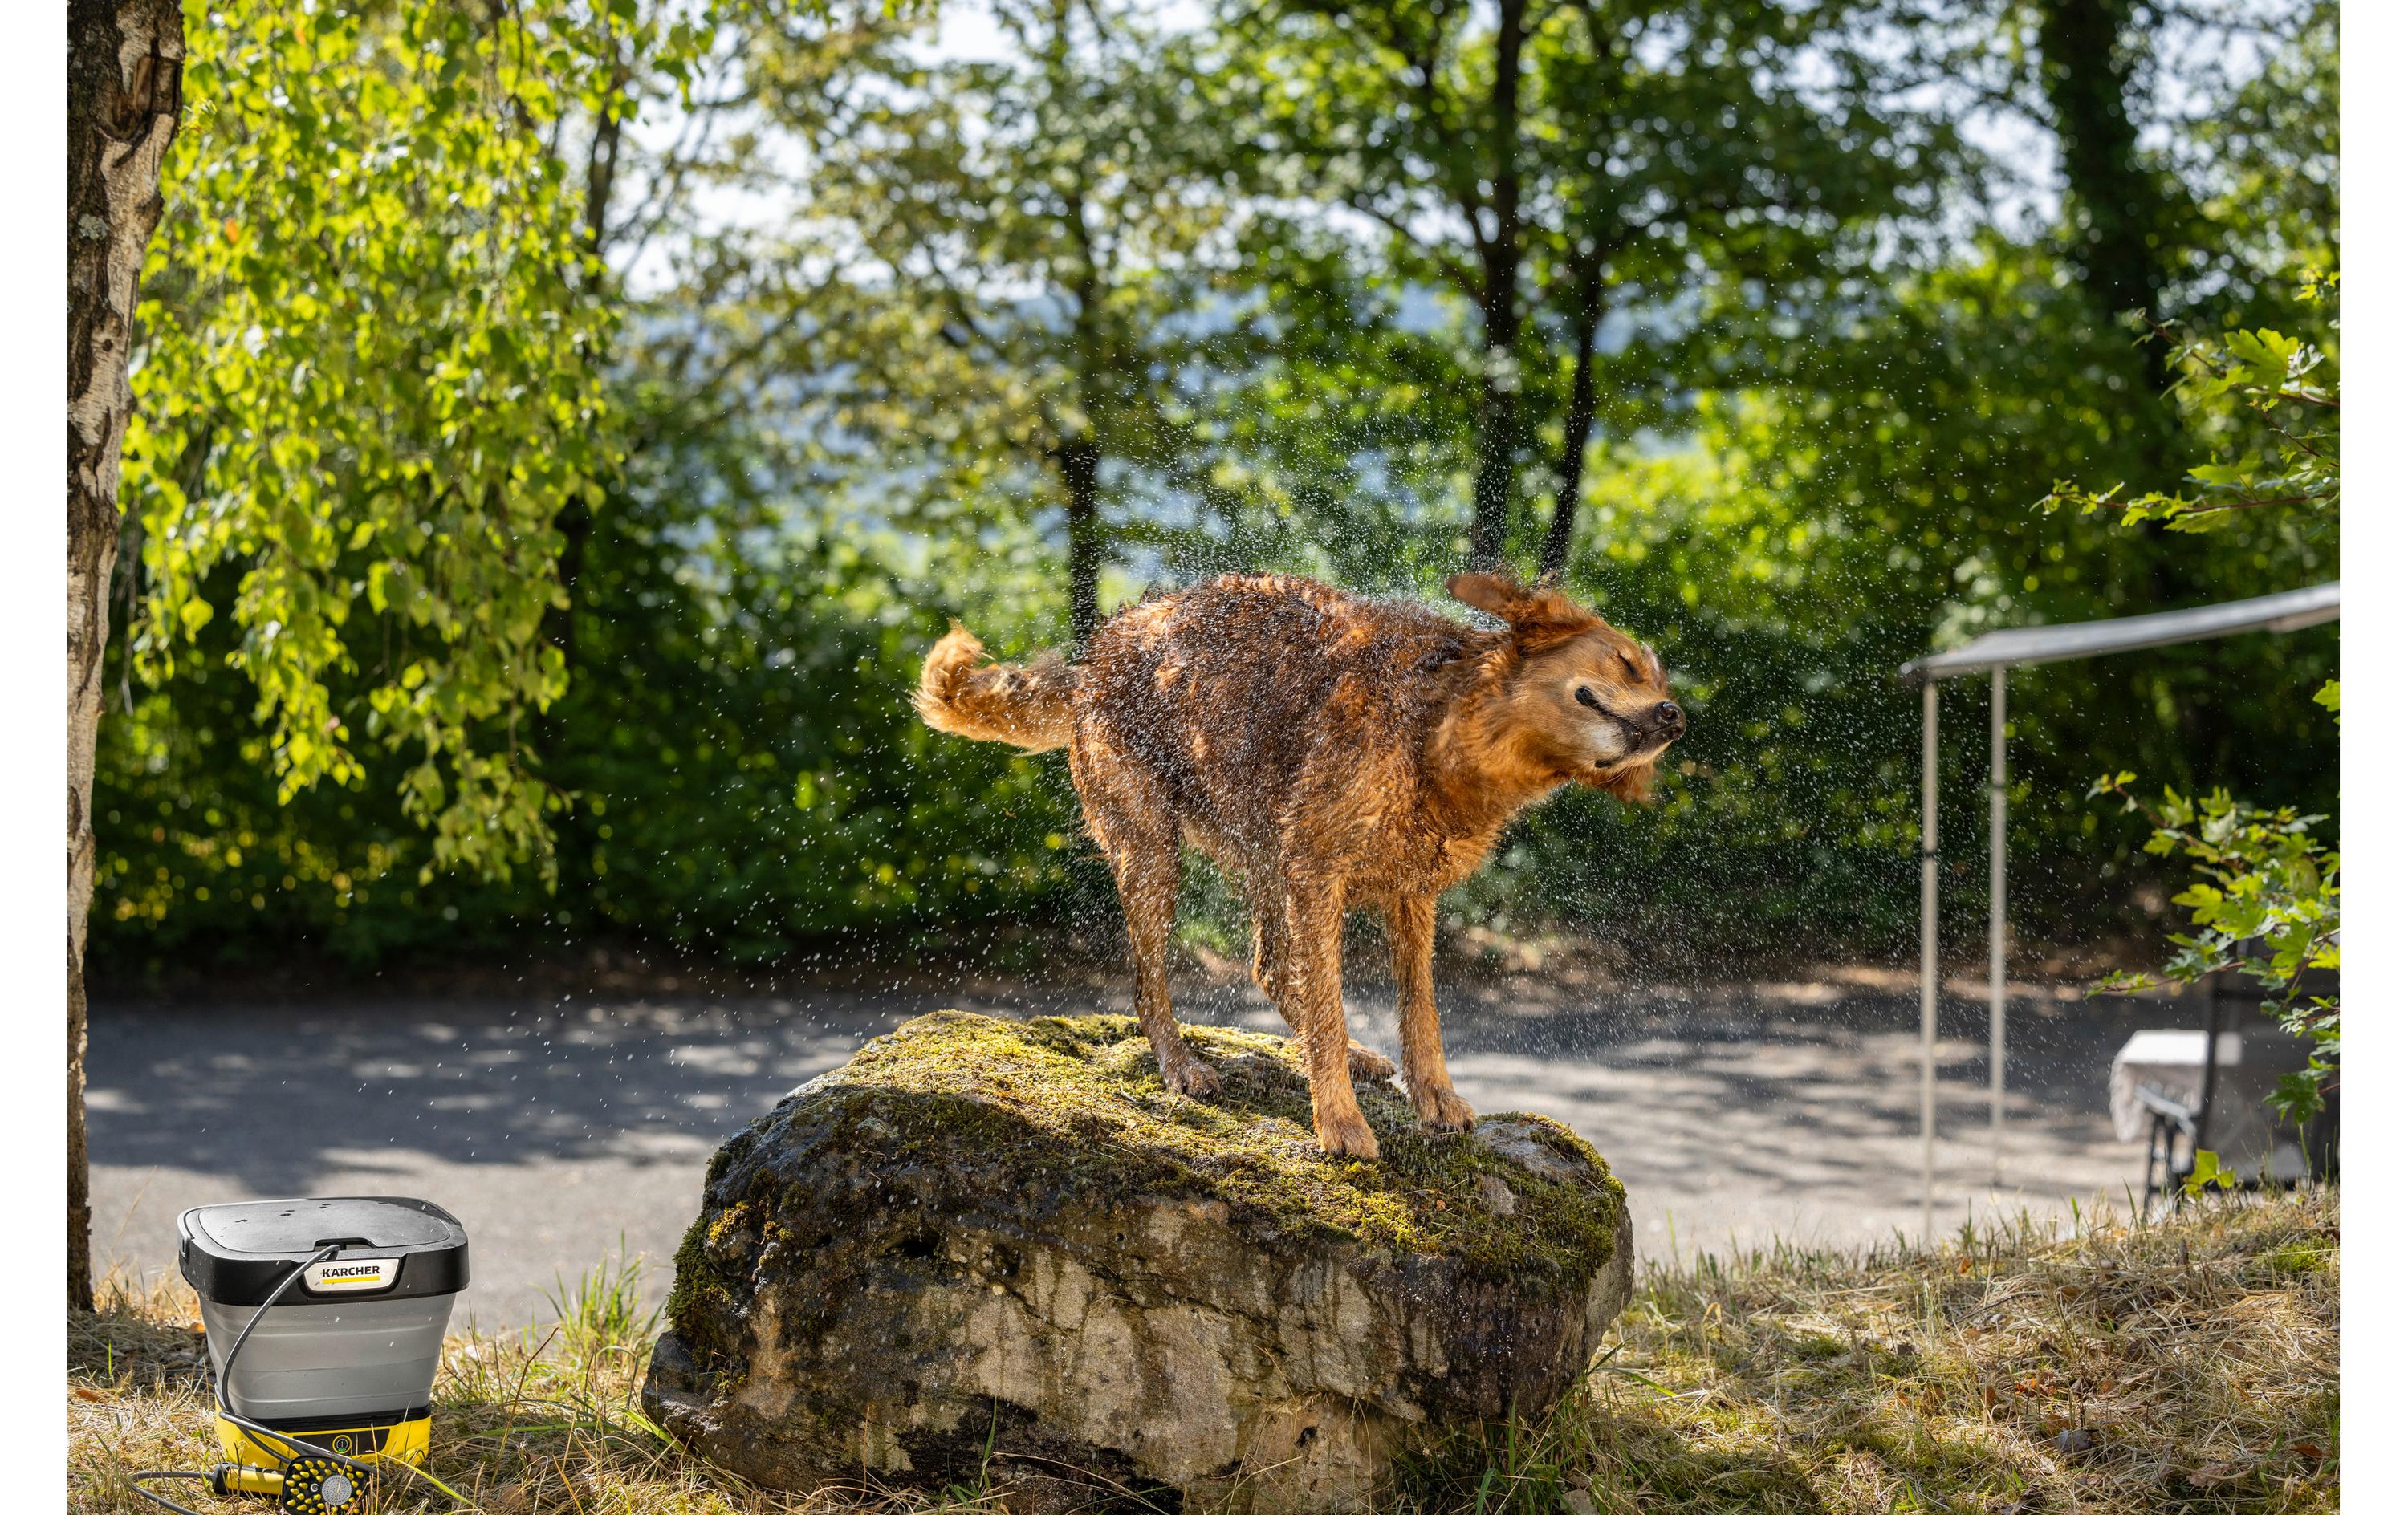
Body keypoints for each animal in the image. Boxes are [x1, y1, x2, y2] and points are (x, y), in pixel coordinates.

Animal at [910, 571, 1686, 1156]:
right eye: (1625, 664)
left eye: (1657, 676)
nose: (1677, 716)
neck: (1444, 729)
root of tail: (1094, 657)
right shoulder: (1320, 874)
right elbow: (1331, 1004)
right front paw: (1338, 1122)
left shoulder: (1411, 891)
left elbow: (1420, 1010)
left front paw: (1434, 1097)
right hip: (1156, 856)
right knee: (1152, 984)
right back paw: (1182, 1067)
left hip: (1265, 854)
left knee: (1270, 969)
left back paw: (1353, 1057)